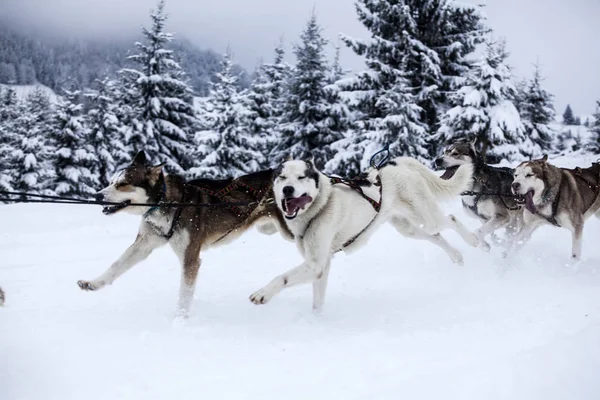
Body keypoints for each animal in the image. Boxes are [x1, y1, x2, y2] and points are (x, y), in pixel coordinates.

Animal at [76, 152, 292, 318]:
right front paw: (94, 283)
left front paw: (180, 320)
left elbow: (184, 294)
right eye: (111, 182)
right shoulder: (142, 245)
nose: (97, 195)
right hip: (268, 228)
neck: (166, 202)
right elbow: (116, 266)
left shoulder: (190, 258)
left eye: (123, 184)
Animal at [247, 156, 478, 310]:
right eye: (282, 177)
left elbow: (282, 277)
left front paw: (263, 293)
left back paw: (475, 240)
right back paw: (456, 256)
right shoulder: (321, 266)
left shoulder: (315, 265)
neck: (320, 206)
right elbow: (317, 300)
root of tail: (397, 163)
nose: (287, 189)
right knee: (437, 237)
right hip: (408, 229)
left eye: (301, 177)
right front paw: (316, 321)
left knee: (451, 219)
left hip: (427, 218)